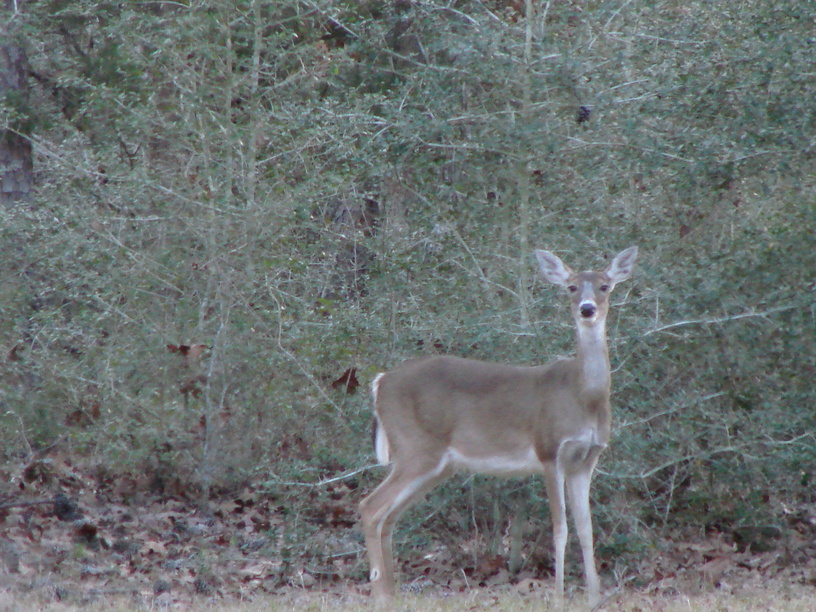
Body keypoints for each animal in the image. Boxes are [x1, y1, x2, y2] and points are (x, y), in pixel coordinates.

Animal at [358, 247, 638, 607]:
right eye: (571, 287)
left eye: (605, 285)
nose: (587, 309)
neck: (583, 397)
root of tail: (380, 382)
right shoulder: (549, 450)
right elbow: (560, 529)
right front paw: (558, 598)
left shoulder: (586, 460)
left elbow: (586, 529)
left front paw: (594, 599)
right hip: (415, 447)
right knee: (370, 507)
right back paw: (380, 593)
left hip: (437, 464)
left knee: (389, 515)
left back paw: (392, 593)